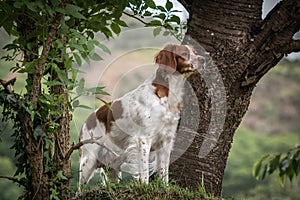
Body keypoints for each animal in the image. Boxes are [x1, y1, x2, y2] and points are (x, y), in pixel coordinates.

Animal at [78, 43, 204, 188]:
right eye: (184, 54)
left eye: (195, 52)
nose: (203, 59)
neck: (167, 95)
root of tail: (86, 121)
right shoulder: (144, 139)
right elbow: (144, 171)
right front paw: (145, 186)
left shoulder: (166, 140)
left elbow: (164, 171)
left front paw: (164, 187)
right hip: (89, 160)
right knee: (79, 189)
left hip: (113, 165)